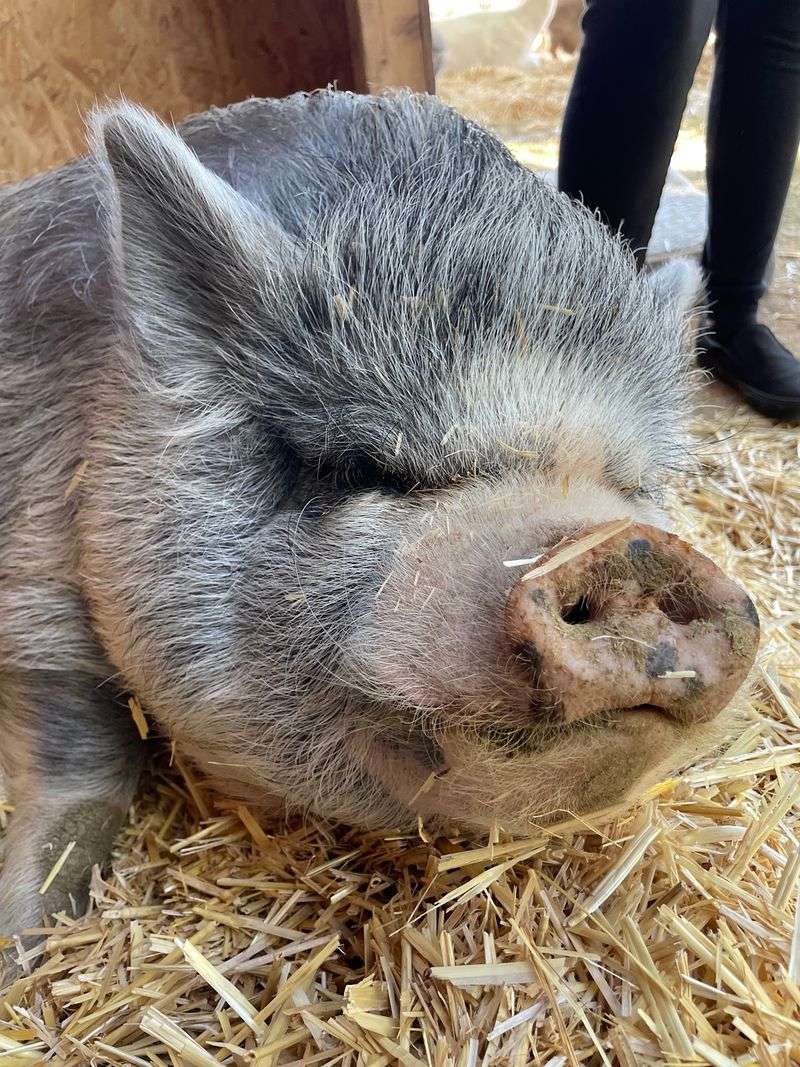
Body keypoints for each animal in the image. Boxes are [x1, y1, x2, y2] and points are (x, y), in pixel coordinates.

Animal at [0, 91, 758, 975]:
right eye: (364, 466)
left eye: (631, 484)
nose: (625, 547)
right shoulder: (33, 586)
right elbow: (80, 753)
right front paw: (22, 950)